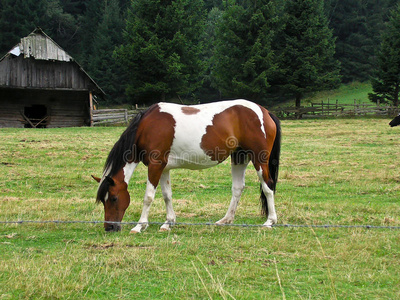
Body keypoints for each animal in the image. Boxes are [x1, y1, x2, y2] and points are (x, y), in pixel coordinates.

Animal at [93, 99, 282, 233]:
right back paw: (225, 220)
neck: (147, 126)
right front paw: (168, 223)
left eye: (114, 198)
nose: (109, 227)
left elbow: (148, 197)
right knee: (237, 188)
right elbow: (167, 195)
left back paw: (270, 221)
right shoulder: (163, 168)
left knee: (268, 186)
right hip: (239, 157)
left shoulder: (155, 166)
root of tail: (264, 112)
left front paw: (139, 226)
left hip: (259, 159)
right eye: (103, 200)